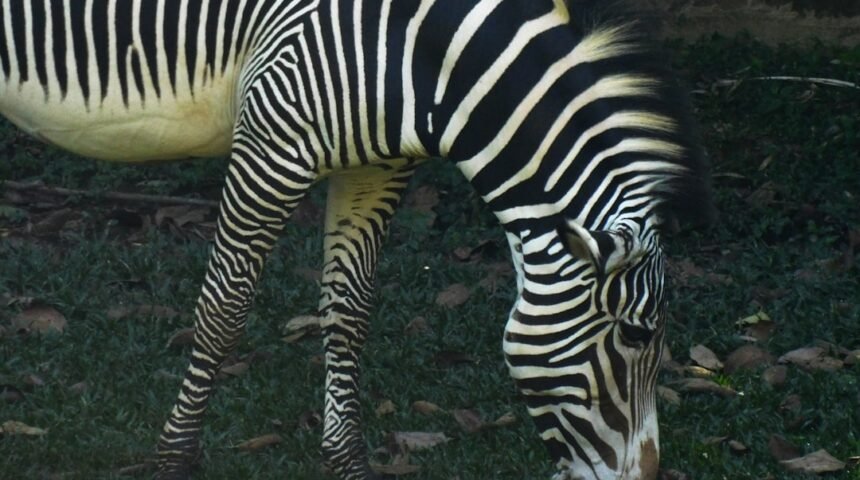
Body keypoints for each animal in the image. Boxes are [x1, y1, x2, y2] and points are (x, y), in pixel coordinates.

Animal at [0, 0, 712, 479]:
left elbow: (349, 315)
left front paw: (346, 462)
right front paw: (174, 460)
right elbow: (224, 310)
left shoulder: (378, 164)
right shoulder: (271, 145)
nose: (648, 475)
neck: (421, 55)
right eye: (637, 335)